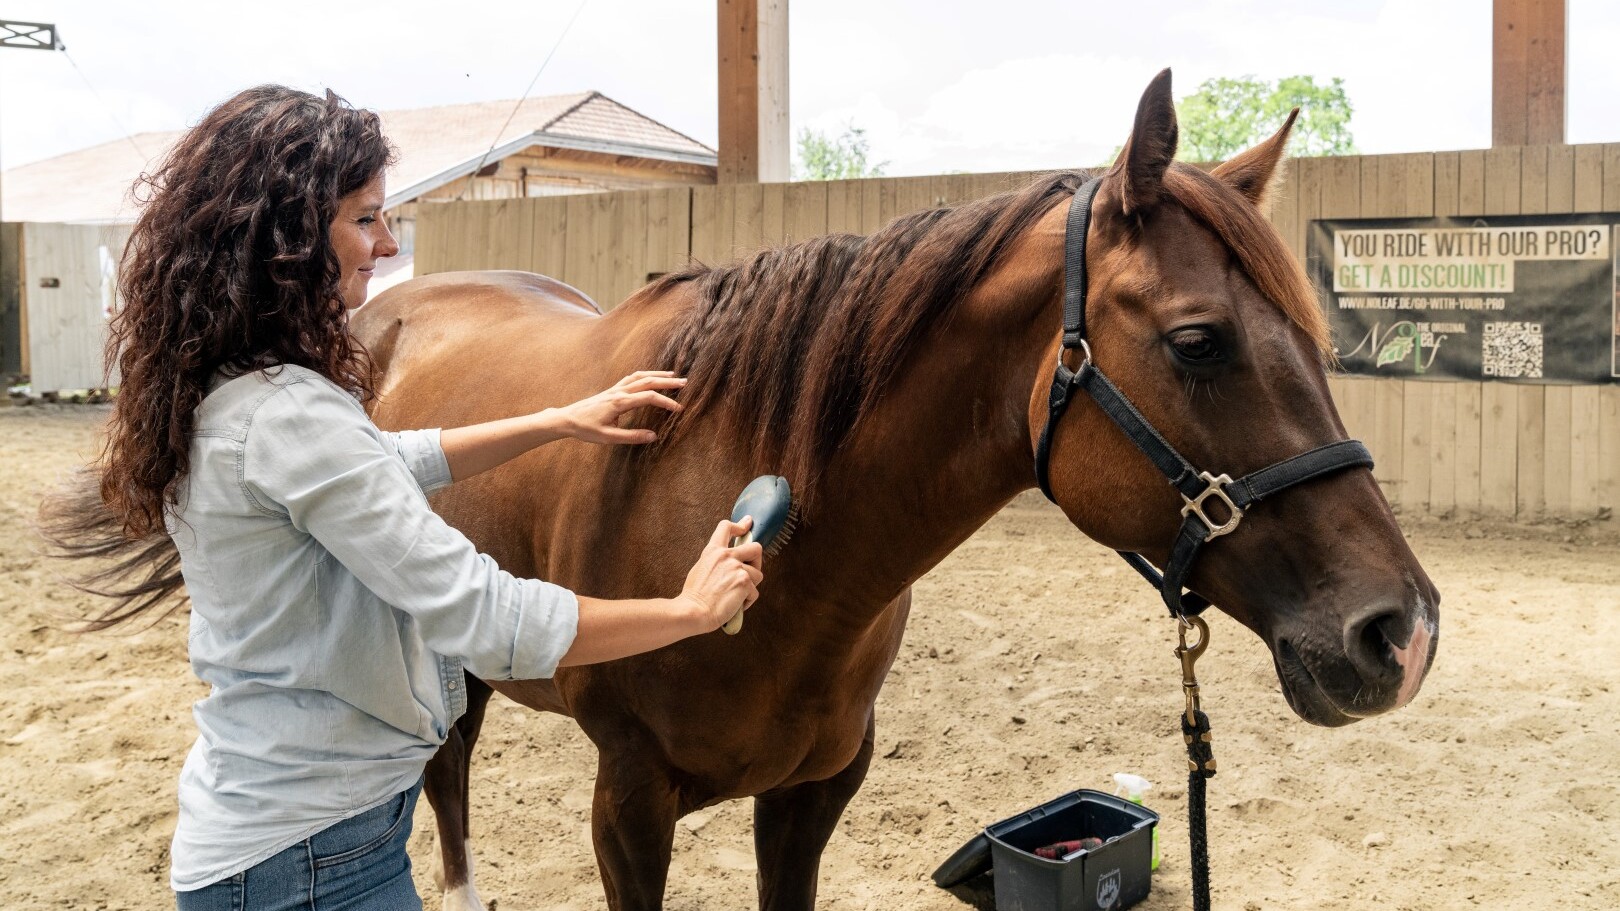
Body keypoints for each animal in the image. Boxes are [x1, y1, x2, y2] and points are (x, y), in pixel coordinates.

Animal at [358, 72, 1445, 907]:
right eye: (1197, 341)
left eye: (1314, 336)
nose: (1403, 632)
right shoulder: (627, 803)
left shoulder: (814, 793)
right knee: (445, 774)